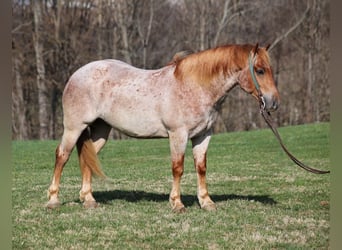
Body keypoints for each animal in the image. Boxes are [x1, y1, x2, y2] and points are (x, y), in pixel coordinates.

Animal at [46, 44, 280, 212]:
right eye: (259, 70)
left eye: (270, 69)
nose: (273, 102)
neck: (195, 86)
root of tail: (77, 74)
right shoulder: (178, 134)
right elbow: (178, 168)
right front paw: (177, 203)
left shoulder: (203, 135)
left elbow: (201, 167)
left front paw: (206, 202)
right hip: (74, 128)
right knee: (61, 156)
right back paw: (53, 200)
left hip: (101, 130)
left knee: (88, 158)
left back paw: (88, 199)